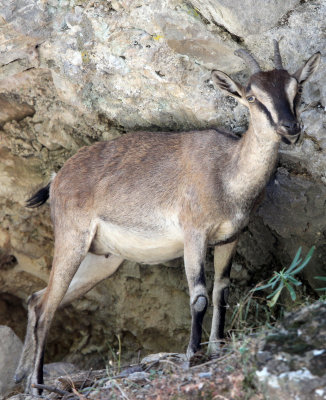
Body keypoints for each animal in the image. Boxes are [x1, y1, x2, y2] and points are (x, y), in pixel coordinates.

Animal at [14, 41, 318, 394]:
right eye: (252, 97)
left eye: (297, 89)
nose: (290, 129)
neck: (228, 173)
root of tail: (56, 178)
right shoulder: (194, 234)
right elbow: (199, 296)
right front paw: (192, 354)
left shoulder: (230, 238)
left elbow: (222, 292)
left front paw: (217, 349)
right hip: (71, 239)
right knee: (46, 308)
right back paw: (38, 386)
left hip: (101, 259)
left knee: (37, 299)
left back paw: (23, 378)